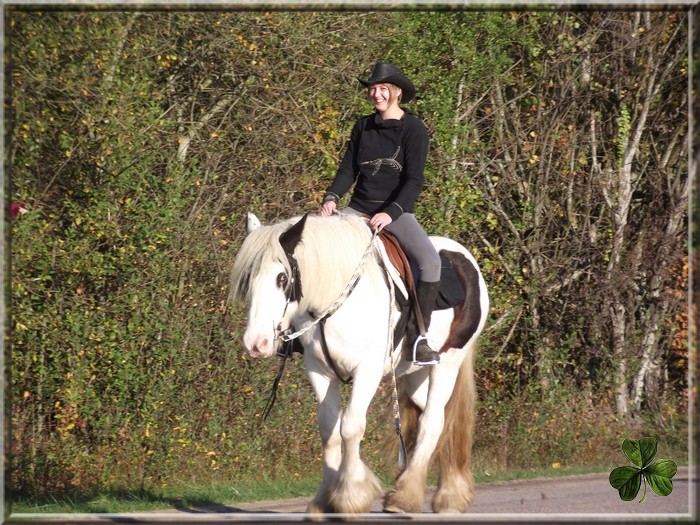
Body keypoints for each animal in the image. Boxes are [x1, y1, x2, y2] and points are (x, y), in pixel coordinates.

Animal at [228, 212, 486, 512]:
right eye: (249, 277)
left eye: (282, 278)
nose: (255, 343)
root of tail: (468, 263)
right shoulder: (319, 370)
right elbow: (329, 429)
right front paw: (324, 498)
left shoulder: (367, 371)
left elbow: (351, 427)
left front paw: (350, 495)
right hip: (415, 376)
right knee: (443, 418)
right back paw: (446, 492)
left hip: (447, 365)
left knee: (433, 422)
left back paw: (409, 496)